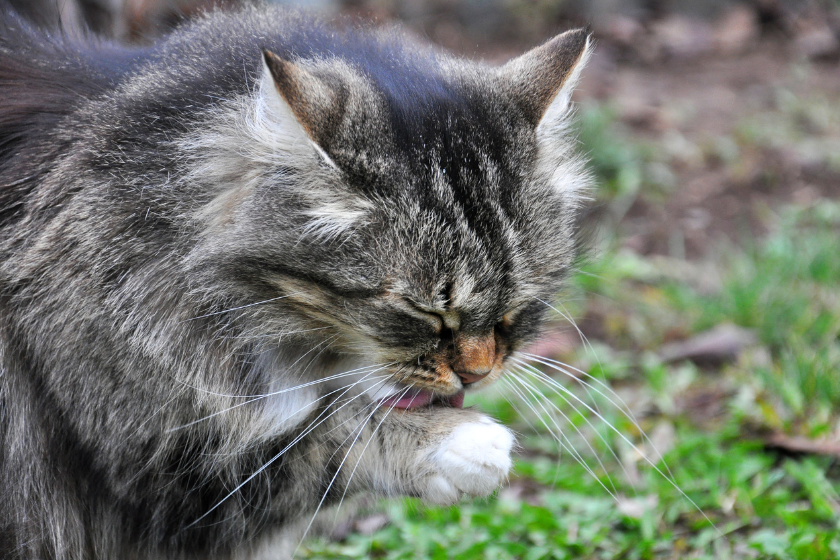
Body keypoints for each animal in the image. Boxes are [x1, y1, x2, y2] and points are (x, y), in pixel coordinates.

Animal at [0, 5, 592, 560]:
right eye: (422, 310)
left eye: (516, 306)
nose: (477, 374)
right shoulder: (149, 466)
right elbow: (322, 443)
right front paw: (459, 443)